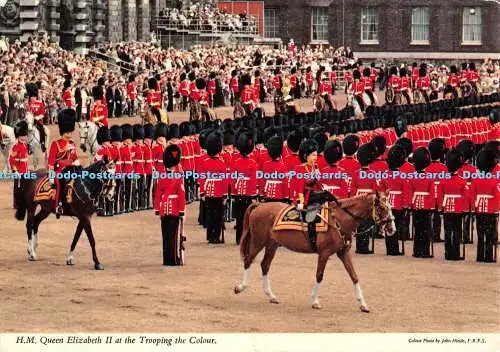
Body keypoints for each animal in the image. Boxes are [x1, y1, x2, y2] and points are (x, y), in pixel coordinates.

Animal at [234, 191, 394, 312]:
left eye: (390, 206)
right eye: (382, 207)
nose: (392, 228)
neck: (339, 220)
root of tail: (260, 205)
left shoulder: (343, 253)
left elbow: (354, 276)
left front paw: (363, 304)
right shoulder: (324, 253)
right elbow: (319, 275)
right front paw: (315, 301)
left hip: (271, 245)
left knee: (265, 265)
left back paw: (271, 296)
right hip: (258, 241)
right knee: (248, 260)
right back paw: (240, 287)